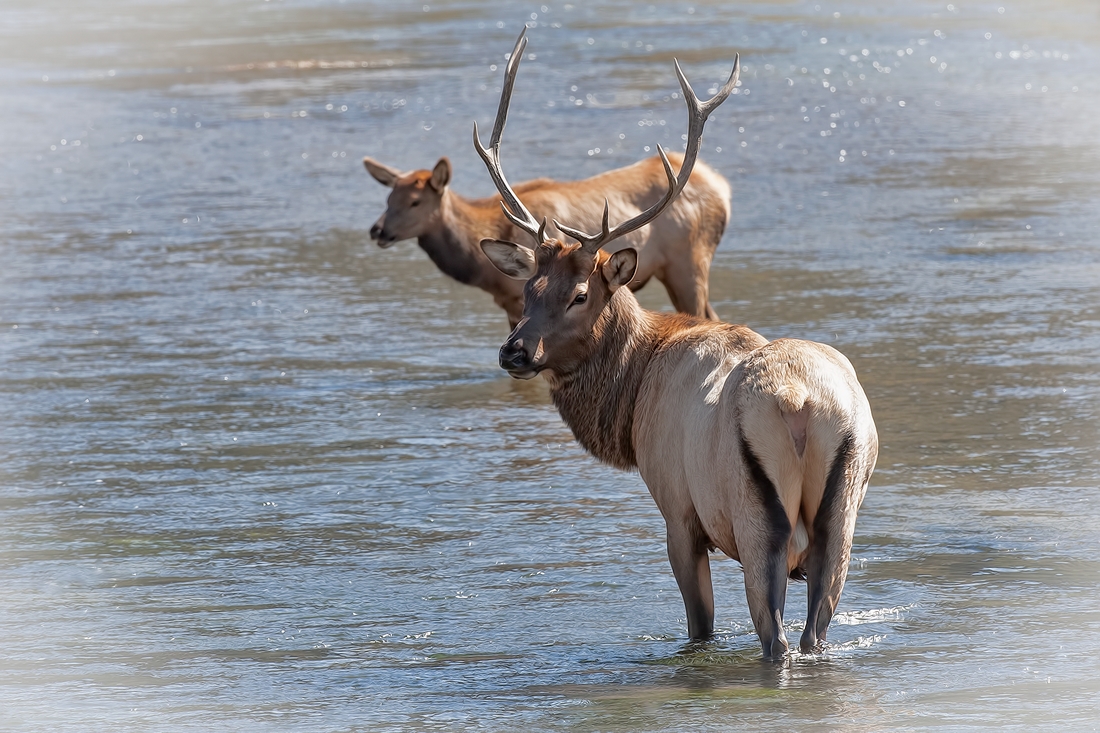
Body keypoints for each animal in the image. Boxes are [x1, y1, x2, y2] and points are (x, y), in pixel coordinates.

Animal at [473, 29, 875, 655]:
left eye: (580, 294)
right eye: (529, 289)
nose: (513, 351)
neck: (636, 388)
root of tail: (803, 404)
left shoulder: (679, 514)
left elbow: (700, 627)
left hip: (758, 521)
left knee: (776, 640)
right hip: (842, 517)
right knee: (815, 632)